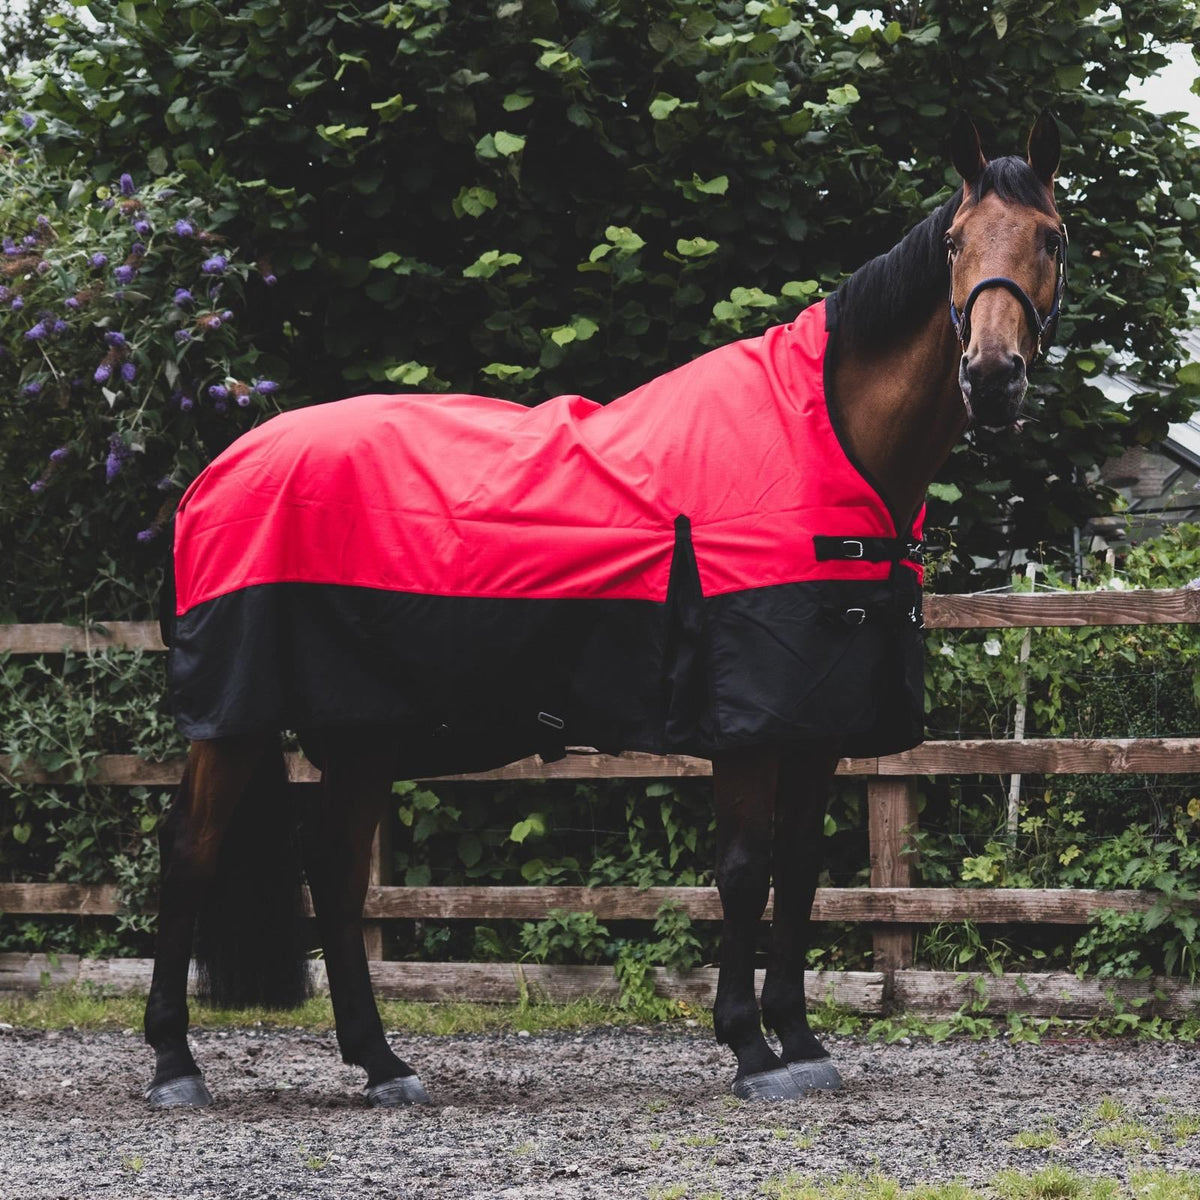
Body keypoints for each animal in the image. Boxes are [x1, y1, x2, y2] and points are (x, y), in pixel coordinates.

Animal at [144, 112, 1067, 1108]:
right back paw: (174, 1065)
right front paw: (749, 1047)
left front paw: (800, 1039)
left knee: (338, 875)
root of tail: (213, 474)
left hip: (362, 730)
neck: (826, 439)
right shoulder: (744, 726)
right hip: (236, 722)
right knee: (191, 853)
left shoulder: (815, 725)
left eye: (1051, 238)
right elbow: (743, 872)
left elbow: (799, 871)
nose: (993, 377)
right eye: (954, 244)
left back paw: (382, 1064)